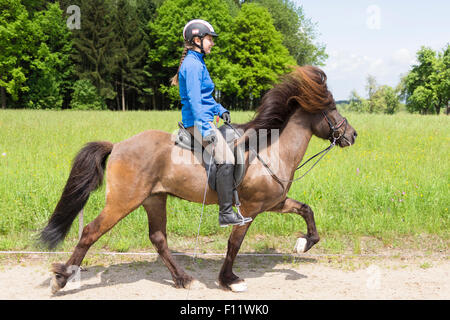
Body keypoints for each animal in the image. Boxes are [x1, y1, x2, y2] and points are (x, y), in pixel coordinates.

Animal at [40, 64, 358, 292]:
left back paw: (183, 279)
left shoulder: (274, 202)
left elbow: (306, 210)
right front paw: (229, 280)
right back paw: (62, 278)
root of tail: (117, 145)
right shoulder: (249, 209)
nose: (353, 135)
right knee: (90, 232)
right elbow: (234, 243)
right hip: (123, 201)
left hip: (154, 199)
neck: (271, 150)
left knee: (158, 239)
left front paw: (303, 243)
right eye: (332, 110)